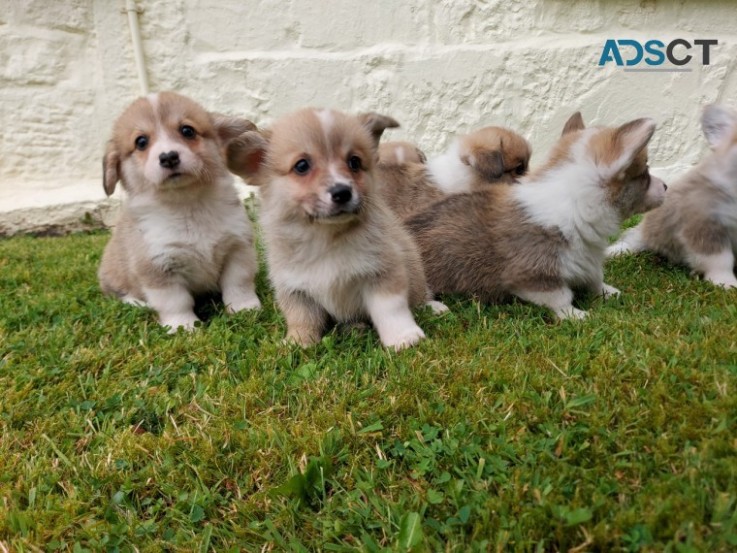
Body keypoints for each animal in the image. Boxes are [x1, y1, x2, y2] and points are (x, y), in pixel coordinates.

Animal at [98, 91, 262, 332]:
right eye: (141, 142)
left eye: (187, 130)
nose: (168, 157)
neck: (187, 204)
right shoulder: (158, 268)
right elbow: (175, 302)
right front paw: (184, 327)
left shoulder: (237, 249)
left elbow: (238, 284)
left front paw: (245, 309)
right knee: (120, 293)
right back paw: (138, 303)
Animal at [224, 108, 446, 350]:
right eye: (301, 166)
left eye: (354, 162)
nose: (342, 192)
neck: (325, 237)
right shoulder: (294, 288)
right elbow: (301, 318)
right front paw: (297, 342)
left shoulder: (383, 273)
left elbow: (391, 310)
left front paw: (404, 337)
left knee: (420, 294)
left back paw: (433, 307)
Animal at [402, 112, 668, 320]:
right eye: (645, 172)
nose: (666, 186)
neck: (575, 205)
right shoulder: (532, 277)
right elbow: (560, 297)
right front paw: (576, 315)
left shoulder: (589, 261)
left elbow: (595, 279)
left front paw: (609, 292)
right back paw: (436, 306)